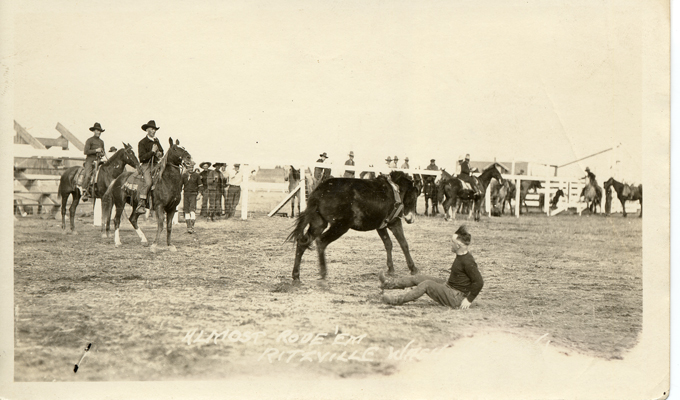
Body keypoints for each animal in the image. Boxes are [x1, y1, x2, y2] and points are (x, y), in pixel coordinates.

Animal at [286, 171, 420, 282]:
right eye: (415, 195)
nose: (410, 219)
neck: (394, 190)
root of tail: (320, 191)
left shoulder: (381, 226)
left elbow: (388, 244)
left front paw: (391, 269)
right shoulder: (395, 223)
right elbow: (404, 244)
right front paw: (413, 268)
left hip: (319, 224)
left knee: (303, 242)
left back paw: (296, 275)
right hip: (340, 226)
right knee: (321, 241)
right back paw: (323, 272)